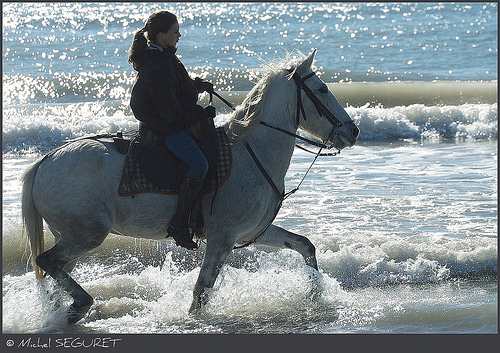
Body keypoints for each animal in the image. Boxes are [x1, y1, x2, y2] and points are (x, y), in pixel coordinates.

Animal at [22, 49, 360, 322]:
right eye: (322, 89)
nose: (353, 131)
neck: (252, 151)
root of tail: (44, 161)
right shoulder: (222, 238)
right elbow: (202, 291)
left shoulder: (254, 231)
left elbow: (304, 245)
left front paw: (316, 294)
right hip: (87, 234)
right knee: (46, 261)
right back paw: (80, 303)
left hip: (70, 235)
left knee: (55, 270)